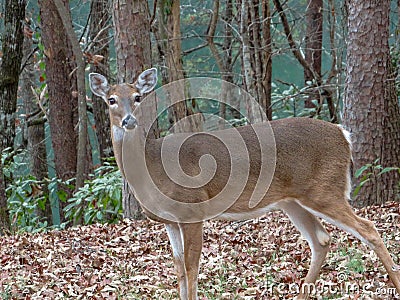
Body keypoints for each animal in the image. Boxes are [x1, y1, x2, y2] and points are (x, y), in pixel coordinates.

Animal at [88, 68, 400, 300]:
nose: (129, 121)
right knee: (322, 239)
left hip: (325, 189)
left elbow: (191, 267)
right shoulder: (170, 221)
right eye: (111, 99)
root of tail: (343, 133)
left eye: (138, 97)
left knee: (368, 229)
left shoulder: (193, 210)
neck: (151, 167)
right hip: (293, 200)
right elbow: (178, 268)